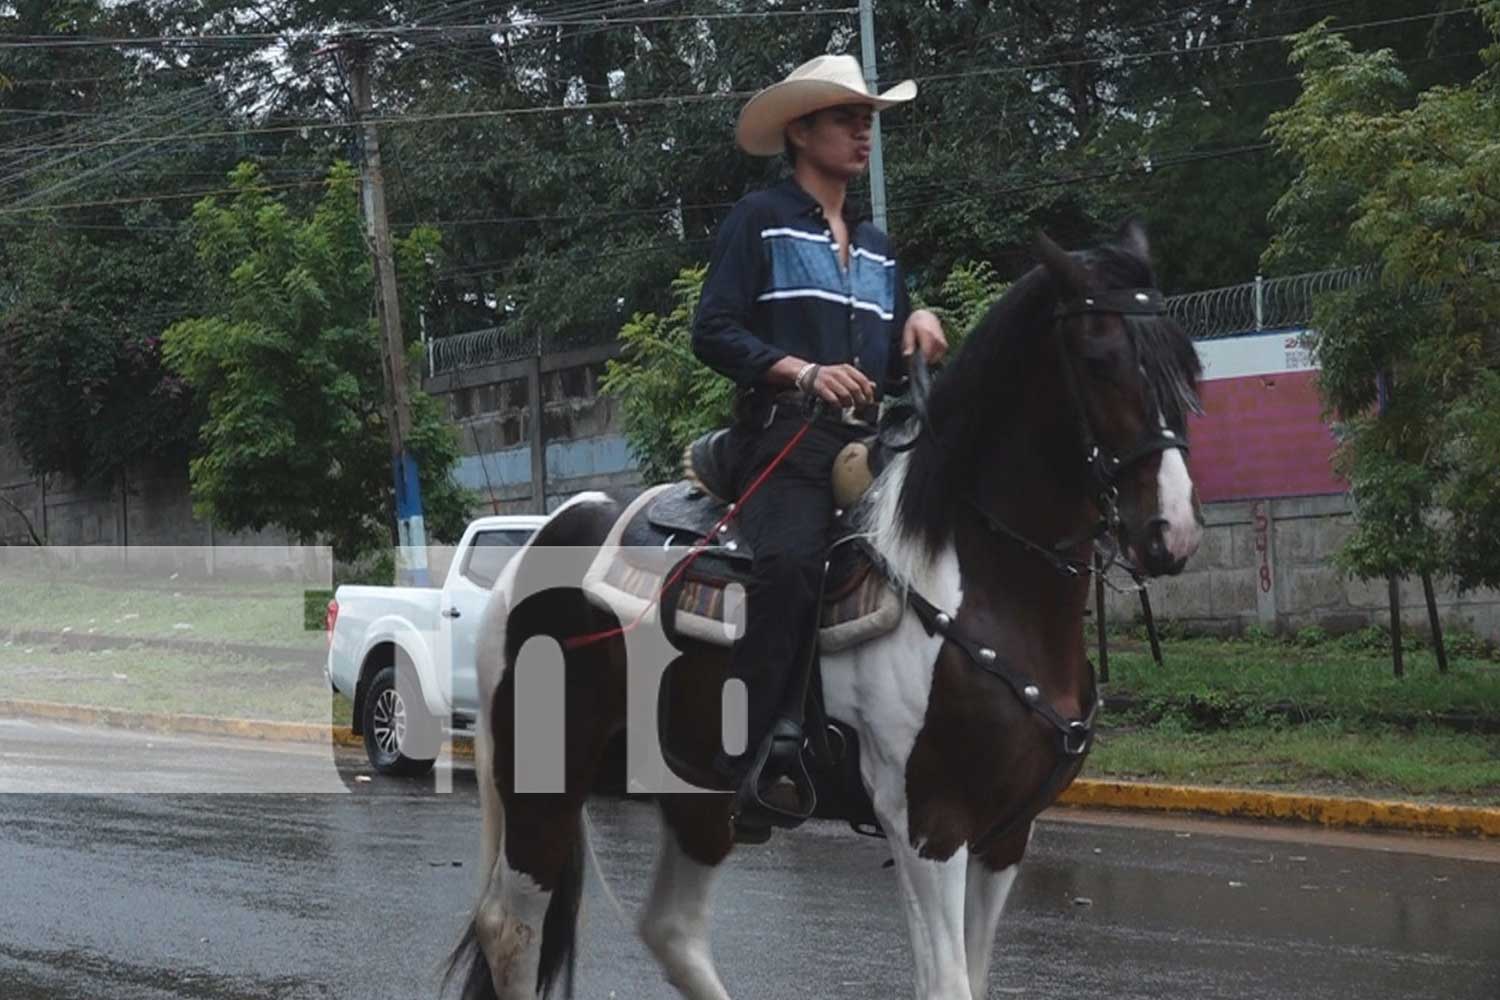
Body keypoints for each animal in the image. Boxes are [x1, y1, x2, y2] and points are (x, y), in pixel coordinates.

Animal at [444, 224, 1206, 1000]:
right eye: (1100, 360)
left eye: (1187, 365)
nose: (1170, 531)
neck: (983, 586)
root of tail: (540, 540)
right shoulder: (928, 824)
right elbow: (948, 984)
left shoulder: (1006, 836)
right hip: (544, 777)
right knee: (511, 929)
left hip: (694, 793)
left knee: (670, 928)